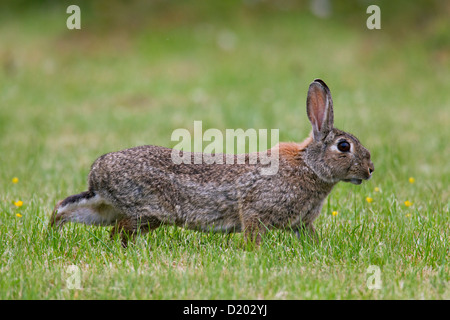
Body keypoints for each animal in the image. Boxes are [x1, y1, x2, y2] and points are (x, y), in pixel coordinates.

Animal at [49, 78, 374, 248]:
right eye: (344, 146)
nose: (370, 170)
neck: (310, 165)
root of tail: (99, 174)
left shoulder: (301, 222)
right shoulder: (257, 210)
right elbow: (252, 230)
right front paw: (252, 252)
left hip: (106, 208)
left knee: (70, 209)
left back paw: (52, 230)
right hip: (147, 211)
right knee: (118, 232)